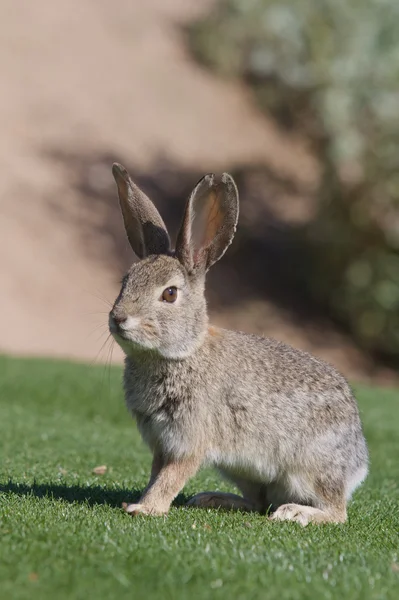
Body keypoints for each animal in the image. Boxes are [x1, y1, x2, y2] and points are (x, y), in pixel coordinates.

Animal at [108, 163, 368, 524]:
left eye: (169, 294)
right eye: (125, 281)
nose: (118, 318)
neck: (184, 352)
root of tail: (358, 464)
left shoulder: (190, 439)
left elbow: (171, 476)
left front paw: (145, 508)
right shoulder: (161, 443)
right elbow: (157, 473)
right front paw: (143, 501)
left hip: (309, 470)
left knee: (336, 512)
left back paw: (295, 513)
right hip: (244, 471)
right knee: (258, 503)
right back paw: (212, 499)